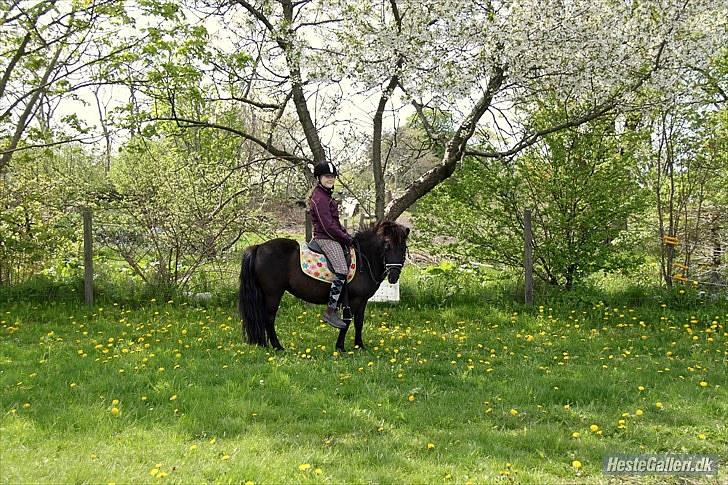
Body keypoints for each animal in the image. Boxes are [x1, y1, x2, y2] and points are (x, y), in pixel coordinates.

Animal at [239, 221, 410, 350]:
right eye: (387, 246)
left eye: (403, 248)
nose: (393, 276)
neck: (365, 259)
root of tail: (259, 247)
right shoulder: (353, 300)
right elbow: (347, 322)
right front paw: (340, 347)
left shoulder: (363, 301)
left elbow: (359, 322)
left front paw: (359, 346)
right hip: (273, 293)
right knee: (269, 318)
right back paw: (277, 346)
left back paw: (264, 344)